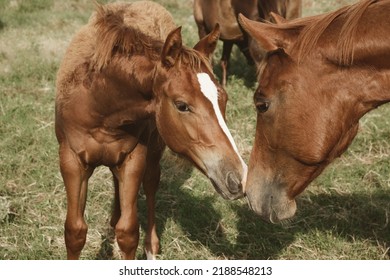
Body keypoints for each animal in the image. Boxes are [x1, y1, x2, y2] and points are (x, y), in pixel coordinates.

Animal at [55, 1, 247, 260]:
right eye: (182, 105)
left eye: (223, 98)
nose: (238, 177)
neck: (99, 105)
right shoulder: (71, 161)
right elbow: (75, 232)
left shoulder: (135, 157)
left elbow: (128, 232)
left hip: (155, 147)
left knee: (151, 183)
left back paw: (150, 245)